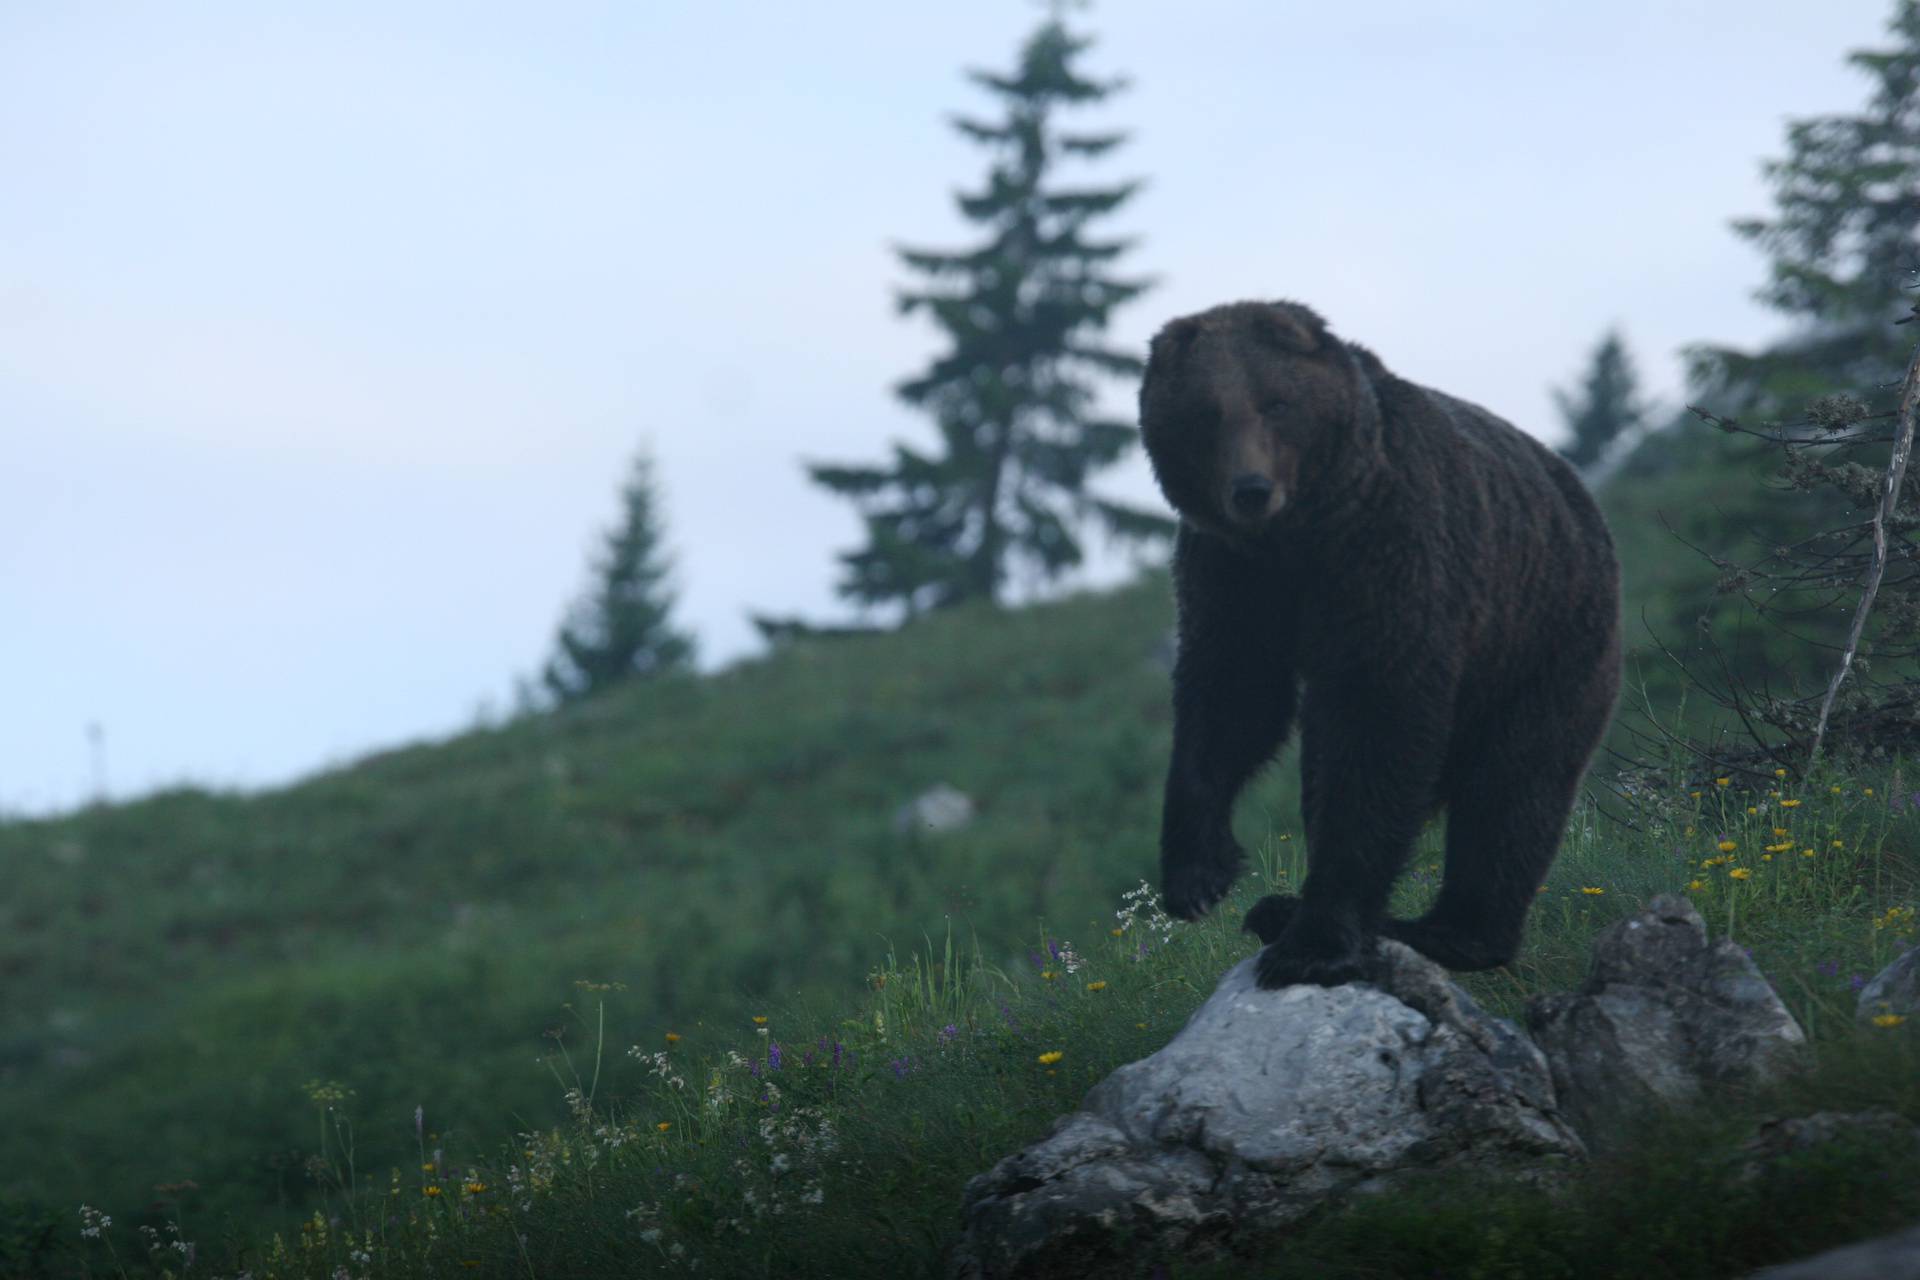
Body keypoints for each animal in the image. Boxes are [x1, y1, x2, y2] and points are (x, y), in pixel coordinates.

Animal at [1136, 301, 1620, 990]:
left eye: (1276, 402)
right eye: (1206, 412)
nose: (1251, 488)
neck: (1302, 536)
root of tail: (1578, 492)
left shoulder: (1392, 558)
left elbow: (1377, 727)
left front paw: (1315, 942)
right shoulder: (1236, 579)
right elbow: (1234, 697)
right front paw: (1199, 874)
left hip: (1542, 645)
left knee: (1511, 791)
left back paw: (1447, 929)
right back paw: (1283, 908)